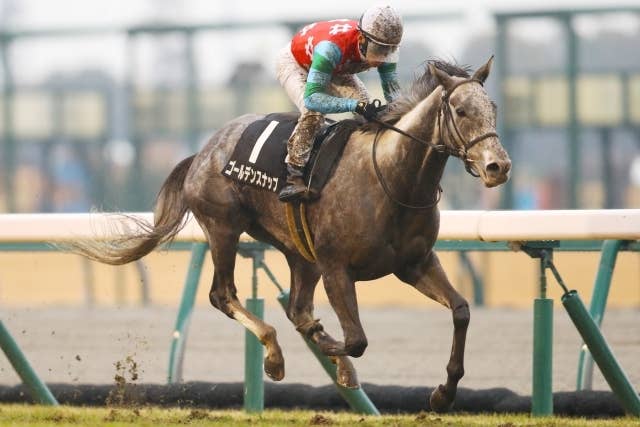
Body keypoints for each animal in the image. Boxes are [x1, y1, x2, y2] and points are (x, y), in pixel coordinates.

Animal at [71, 57, 511, 412]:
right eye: (460, 110)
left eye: (492, 108)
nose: (498, 167)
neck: (392, 178)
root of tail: (203, 151)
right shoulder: (337, 268)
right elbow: (356, 340)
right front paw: (331, 350)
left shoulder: (415, 263)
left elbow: (461, 310)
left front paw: (443, 393)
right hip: (224, 228)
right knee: (224, 295)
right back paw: (275, 355)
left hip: (299, 252)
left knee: (297, 307)